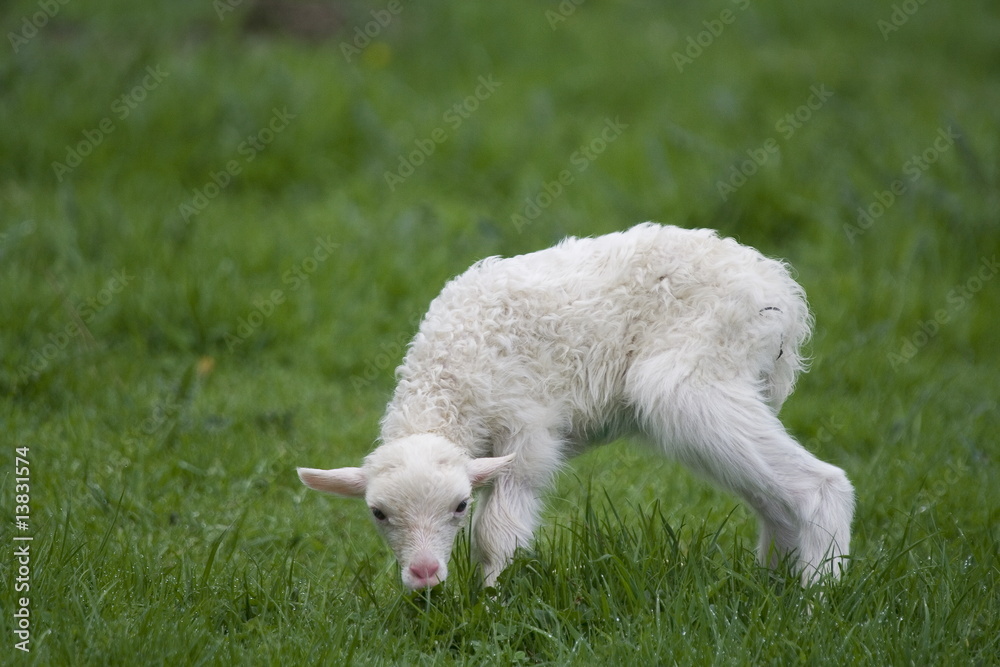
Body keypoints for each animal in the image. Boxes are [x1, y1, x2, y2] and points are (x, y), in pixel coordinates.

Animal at [298, 223, 854, 590]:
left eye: (459, 506)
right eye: (378, 513)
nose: (424, 573)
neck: (447, 380)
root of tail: (781, 290)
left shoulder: (526, 431)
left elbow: (495, 533)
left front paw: (490, 601)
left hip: (695, 374)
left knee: (818, 484)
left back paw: (817, 599)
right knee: (773, 501)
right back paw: (773, 590)